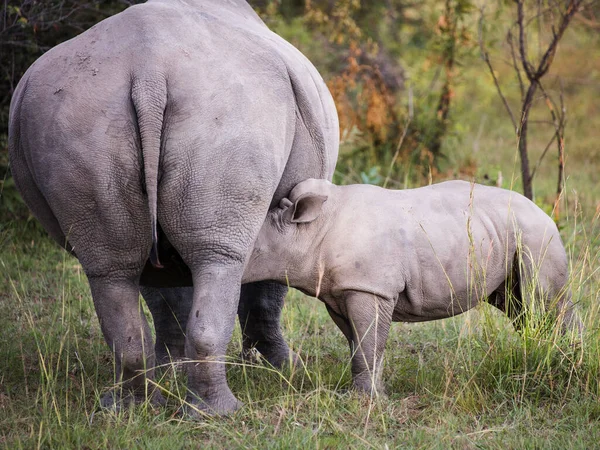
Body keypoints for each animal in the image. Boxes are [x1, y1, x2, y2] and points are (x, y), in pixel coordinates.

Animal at [243, 178, 580, 394]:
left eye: (252, 253)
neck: (308, 231)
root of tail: (544, 211)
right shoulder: (339, 291)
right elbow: (360, 343)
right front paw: (372, 391)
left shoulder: (369, 287)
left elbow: (368, 342)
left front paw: (365, 399)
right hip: (505, 233)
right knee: (518, 307)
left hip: (536, 235)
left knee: (546, 300)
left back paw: (567, 359)